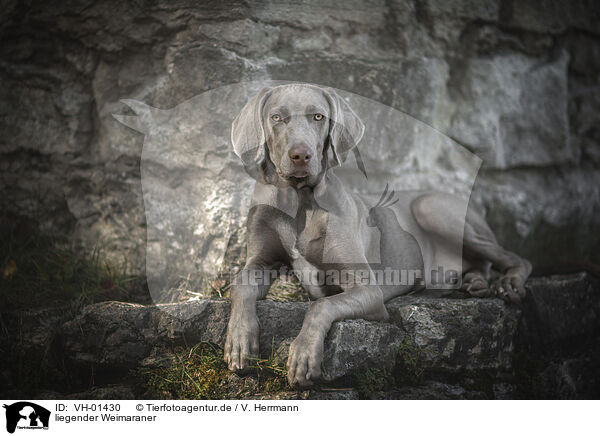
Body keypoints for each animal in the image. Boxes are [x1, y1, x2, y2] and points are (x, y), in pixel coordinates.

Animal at [224, 83, 528, 386]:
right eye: (276, 117)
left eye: (318, 117)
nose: (301, 156)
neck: (298, 200)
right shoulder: (260, 261)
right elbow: (240, 284)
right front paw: (239, 341)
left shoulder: (368, 289)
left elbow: (320, 306)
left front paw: (303, 354)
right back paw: (475, 283)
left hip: (431, 208)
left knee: (515, 258)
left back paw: (507, 284)